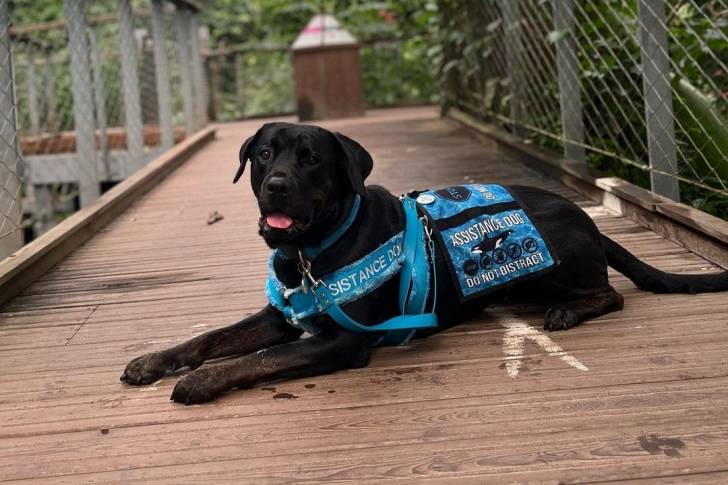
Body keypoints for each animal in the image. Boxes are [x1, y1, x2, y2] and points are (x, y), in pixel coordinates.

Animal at [121, 122, 728, 404]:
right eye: (264, 154)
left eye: (312, 158)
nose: (275, 185)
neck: (314, 251)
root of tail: (591, 222)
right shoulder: (282, 315)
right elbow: (211, 338)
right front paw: (156, 360)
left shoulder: (343, 341)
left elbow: (260, 358)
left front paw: (201, 380)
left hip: (558, 262)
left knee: (612, 293)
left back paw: (567, 313)